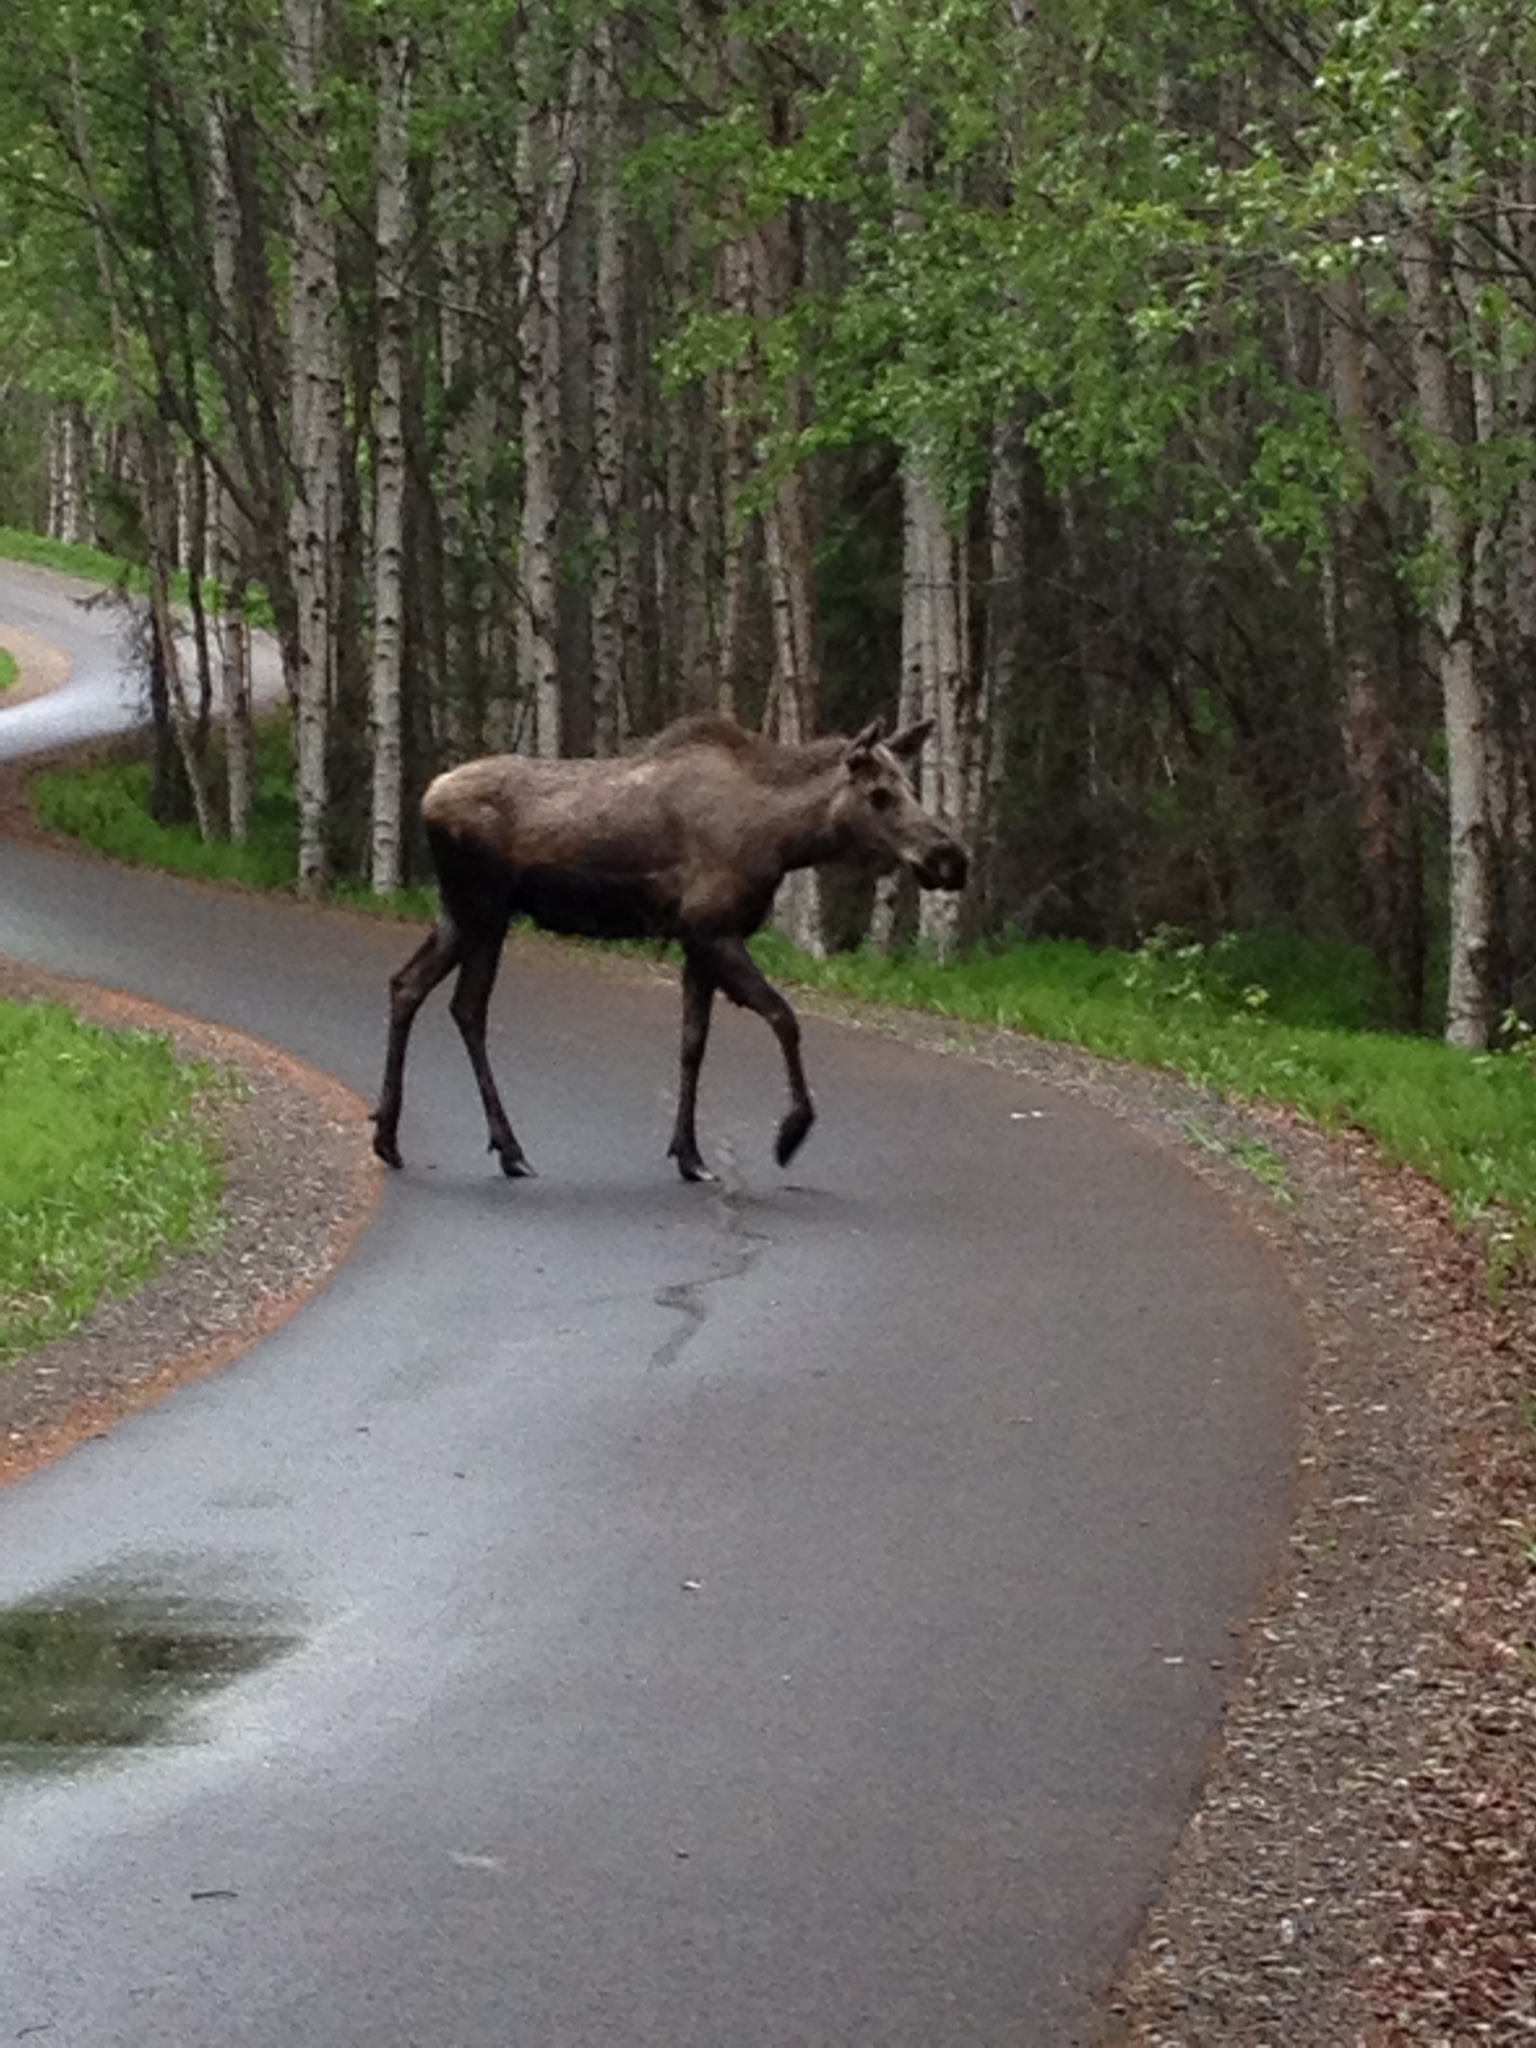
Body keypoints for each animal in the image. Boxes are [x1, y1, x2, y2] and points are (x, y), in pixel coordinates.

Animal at [372, 712, 966, 1187]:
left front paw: (690, 1155)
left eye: (910, 785)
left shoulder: (697, 942)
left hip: (460, 915)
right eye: (880, 794)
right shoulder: (714, 931)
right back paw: (507, 1148)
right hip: (486, 912)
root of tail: (426, 798)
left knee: (407, 984)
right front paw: (790, 1133)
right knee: (467, 1006)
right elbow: (784, 1017)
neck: (785, 837)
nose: (951, 859)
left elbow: (692, 1043)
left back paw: (389, 1138)